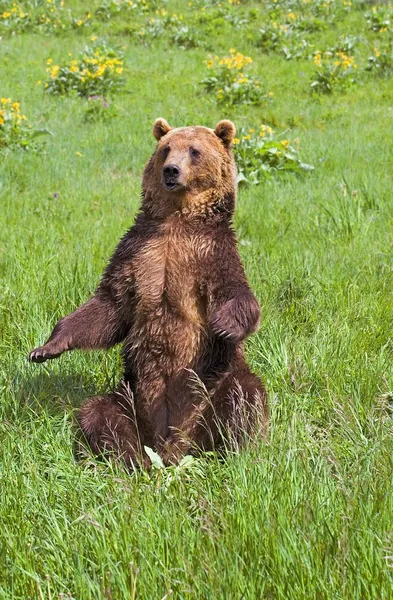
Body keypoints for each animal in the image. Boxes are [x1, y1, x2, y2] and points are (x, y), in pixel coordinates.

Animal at [29, 118, 266, 468]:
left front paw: (225, 324)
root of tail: (171, 444)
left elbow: (236, 294)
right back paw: (126, 459)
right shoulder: (139, 252)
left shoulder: (209, 254)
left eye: (194, 151)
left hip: (211, 387)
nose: (171, 170)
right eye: (166, 149)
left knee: (245, 395)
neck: (178, 221)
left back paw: (233, 455)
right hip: (129, 396)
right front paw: (45, 349)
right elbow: (109, 305)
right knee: (99, 414)